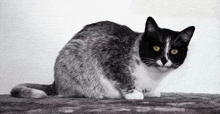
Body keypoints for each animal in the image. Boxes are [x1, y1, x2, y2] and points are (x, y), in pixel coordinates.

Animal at [11, 16, 195, 100]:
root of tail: (55, 83)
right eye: (156, 47)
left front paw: (150, 92)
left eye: (174, 51)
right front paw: (133, 93)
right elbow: (122, 77)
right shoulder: (110, 56)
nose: (164, 59)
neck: (152, 75)